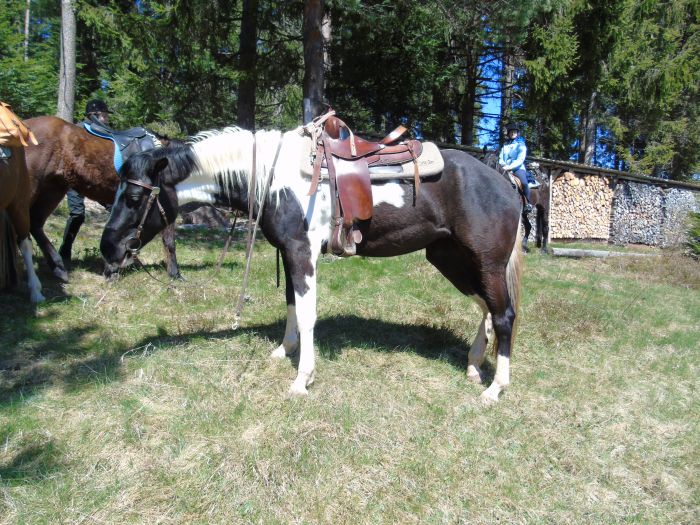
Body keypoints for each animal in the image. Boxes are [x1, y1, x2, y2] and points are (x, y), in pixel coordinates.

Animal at [101, 125, 524, 404]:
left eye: (135, 199)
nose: (108, 250)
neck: (272, 178)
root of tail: (504, 182)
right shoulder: (289, 253)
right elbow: (291, 304)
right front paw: (284, 350)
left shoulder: (301, 252)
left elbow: (307, 314)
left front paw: (302, 378)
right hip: (449, 257)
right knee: (486, 307)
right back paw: (473, 365)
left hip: (485, 261)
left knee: (504, 314)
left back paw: (495, 388)